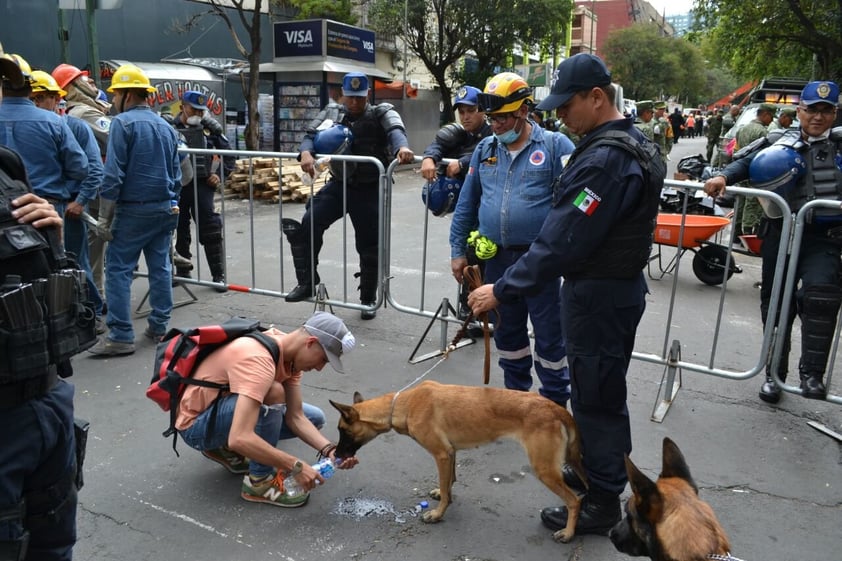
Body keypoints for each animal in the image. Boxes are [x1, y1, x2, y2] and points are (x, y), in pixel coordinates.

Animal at [326, 378, 584, 540]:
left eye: (342, 430)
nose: (336, 454)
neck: (402, 405)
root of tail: (555, 408)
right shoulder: (450, 453)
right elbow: (449, 482)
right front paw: (444, 496)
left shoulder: (441, 454)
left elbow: (445, 485)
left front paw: (438, 514)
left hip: (544, 470)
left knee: (574, 501)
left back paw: (568, 533)